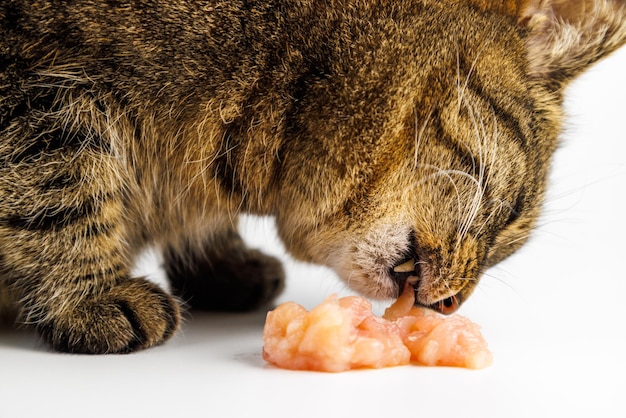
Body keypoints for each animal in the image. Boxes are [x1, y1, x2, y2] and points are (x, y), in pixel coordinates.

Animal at [0, 0, 620, 352]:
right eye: (511, 219)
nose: (449, 309)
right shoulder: (31, 86)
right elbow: (58, 184)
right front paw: (89, 294)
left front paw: (221, 263)